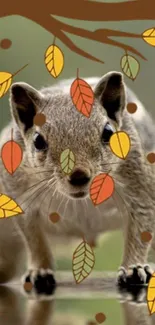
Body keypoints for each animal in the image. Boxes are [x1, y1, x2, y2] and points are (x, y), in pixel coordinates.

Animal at [0, 71, 154, 294]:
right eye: (38, 141)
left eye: (109, 132)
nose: (79, 175)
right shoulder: (20, 197)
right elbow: (34, 238)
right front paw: (40, 271)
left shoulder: (140, 186)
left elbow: (140, 229)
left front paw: (134, 268)